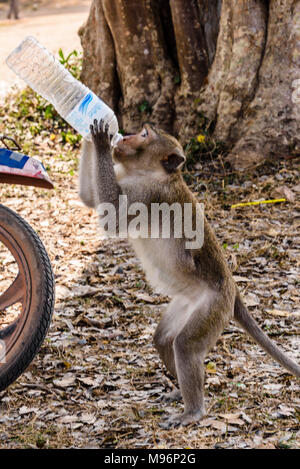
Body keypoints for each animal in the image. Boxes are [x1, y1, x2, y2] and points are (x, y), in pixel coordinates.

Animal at [79, 119, 300, 426]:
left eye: (144, 135)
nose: (126, 137)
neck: (149, 173)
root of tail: (232, 287)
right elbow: (90, 200)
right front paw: (89, 135)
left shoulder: (148, 195)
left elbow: (112, 217)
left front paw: (100, 139)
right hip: (187, 302)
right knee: (164, 339)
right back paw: (179, 391)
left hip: (213, 307)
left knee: (185, 345)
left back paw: (193, 410)